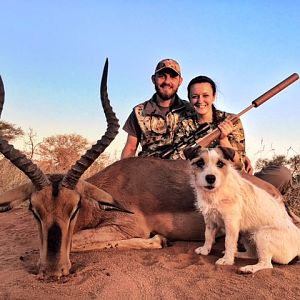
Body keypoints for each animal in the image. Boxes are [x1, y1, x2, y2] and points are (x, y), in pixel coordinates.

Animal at [188, 146, 300, 274]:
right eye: (200, 162)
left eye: (220, 163)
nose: (210, 178)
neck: (215, 192)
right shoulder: (210, 220)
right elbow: (208, 236)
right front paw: (205, 250)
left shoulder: (231, 223)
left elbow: (228, 241)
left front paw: (227, 260)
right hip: (247, 235)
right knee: (253, 254)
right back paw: (238, 254)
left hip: (262, 235)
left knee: (267, 264)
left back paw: (249, 268)